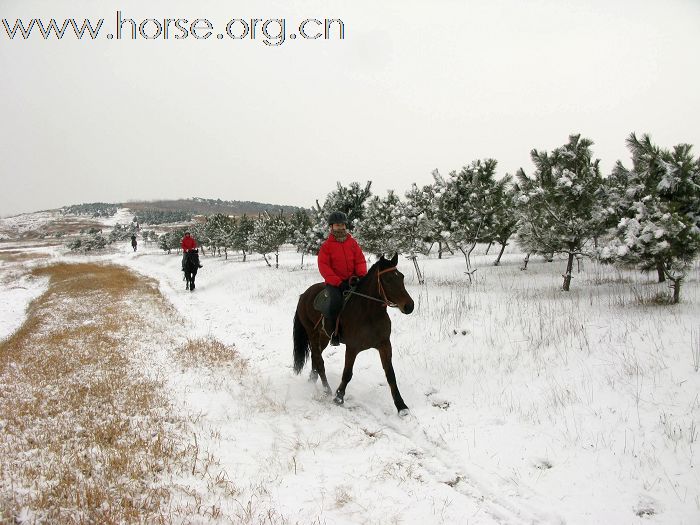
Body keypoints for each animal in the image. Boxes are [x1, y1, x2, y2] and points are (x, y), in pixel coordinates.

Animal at [292, 253, 412, 414]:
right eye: (387, 279)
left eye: (401, 277)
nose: (409, 306)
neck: (370, 314)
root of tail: (304, 294)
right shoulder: (352, 347)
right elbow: (347, 373)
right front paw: (338, 397)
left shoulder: (385, 345)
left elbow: (390, 375)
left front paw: (401, 406)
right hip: (312, 333)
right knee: (319, 359)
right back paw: (327, 389)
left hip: (323, 336)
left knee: (315, 357)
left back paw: (312, 379)